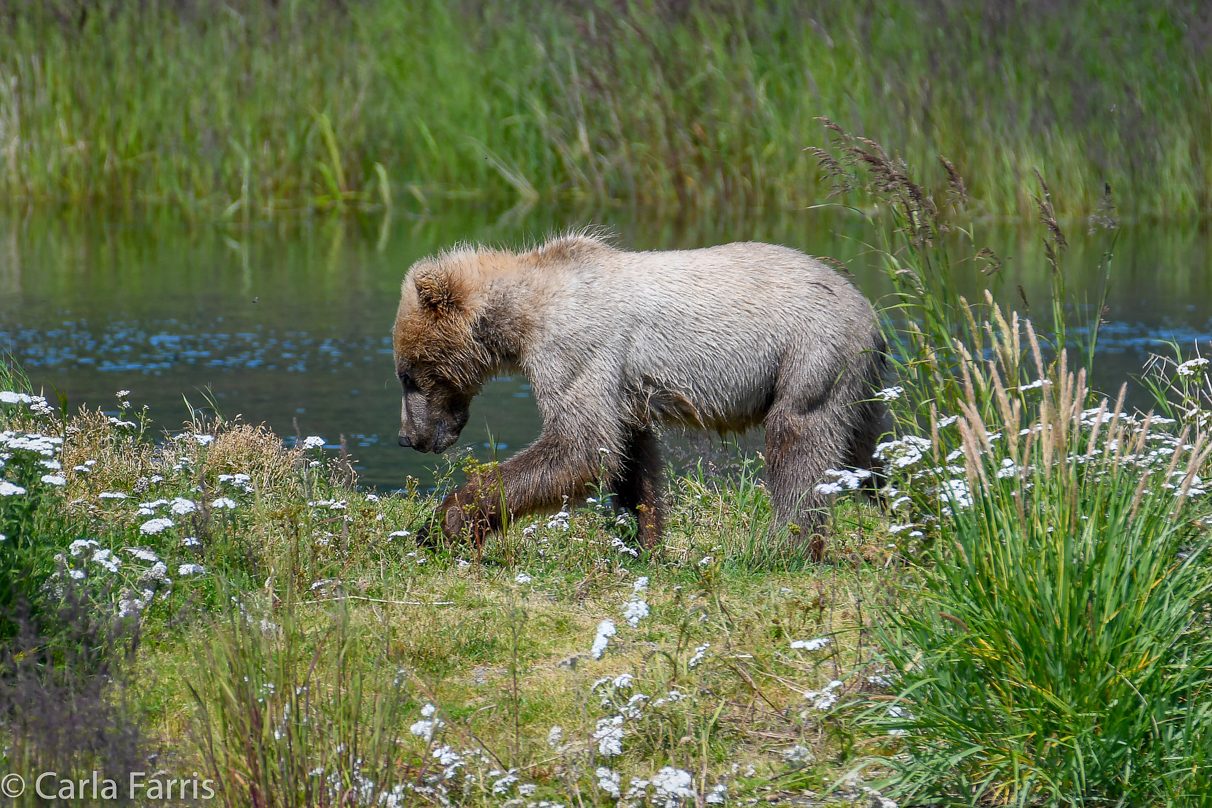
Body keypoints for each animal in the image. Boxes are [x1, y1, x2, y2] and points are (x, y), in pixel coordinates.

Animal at [392, 233, 887, 559]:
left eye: (408, 375)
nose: (407, 437)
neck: (523, 315)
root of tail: (867, 307)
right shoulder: (623, 387)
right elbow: (630, 456)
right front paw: (642, 539)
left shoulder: (577, 350)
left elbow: (579, 447)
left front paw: (444, 523)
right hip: (857, 381)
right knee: (871, 451)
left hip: (809, 356)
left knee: (799, 447)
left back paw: (787, 547)